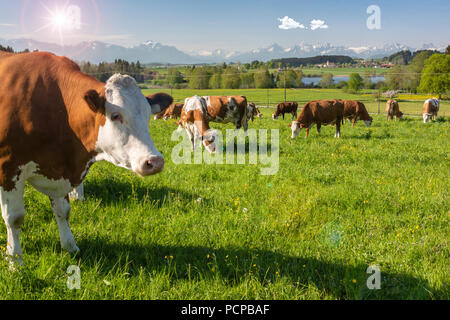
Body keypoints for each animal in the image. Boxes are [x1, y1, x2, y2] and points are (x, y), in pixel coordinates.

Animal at [0, 52, 172, 268]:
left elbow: (63, 210)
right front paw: (15, 261)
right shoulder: (9, 168)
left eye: (149, 114)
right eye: (115, 115)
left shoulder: (59, 170)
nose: (155, 161)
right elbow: (14, 218)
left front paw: (70, 246)